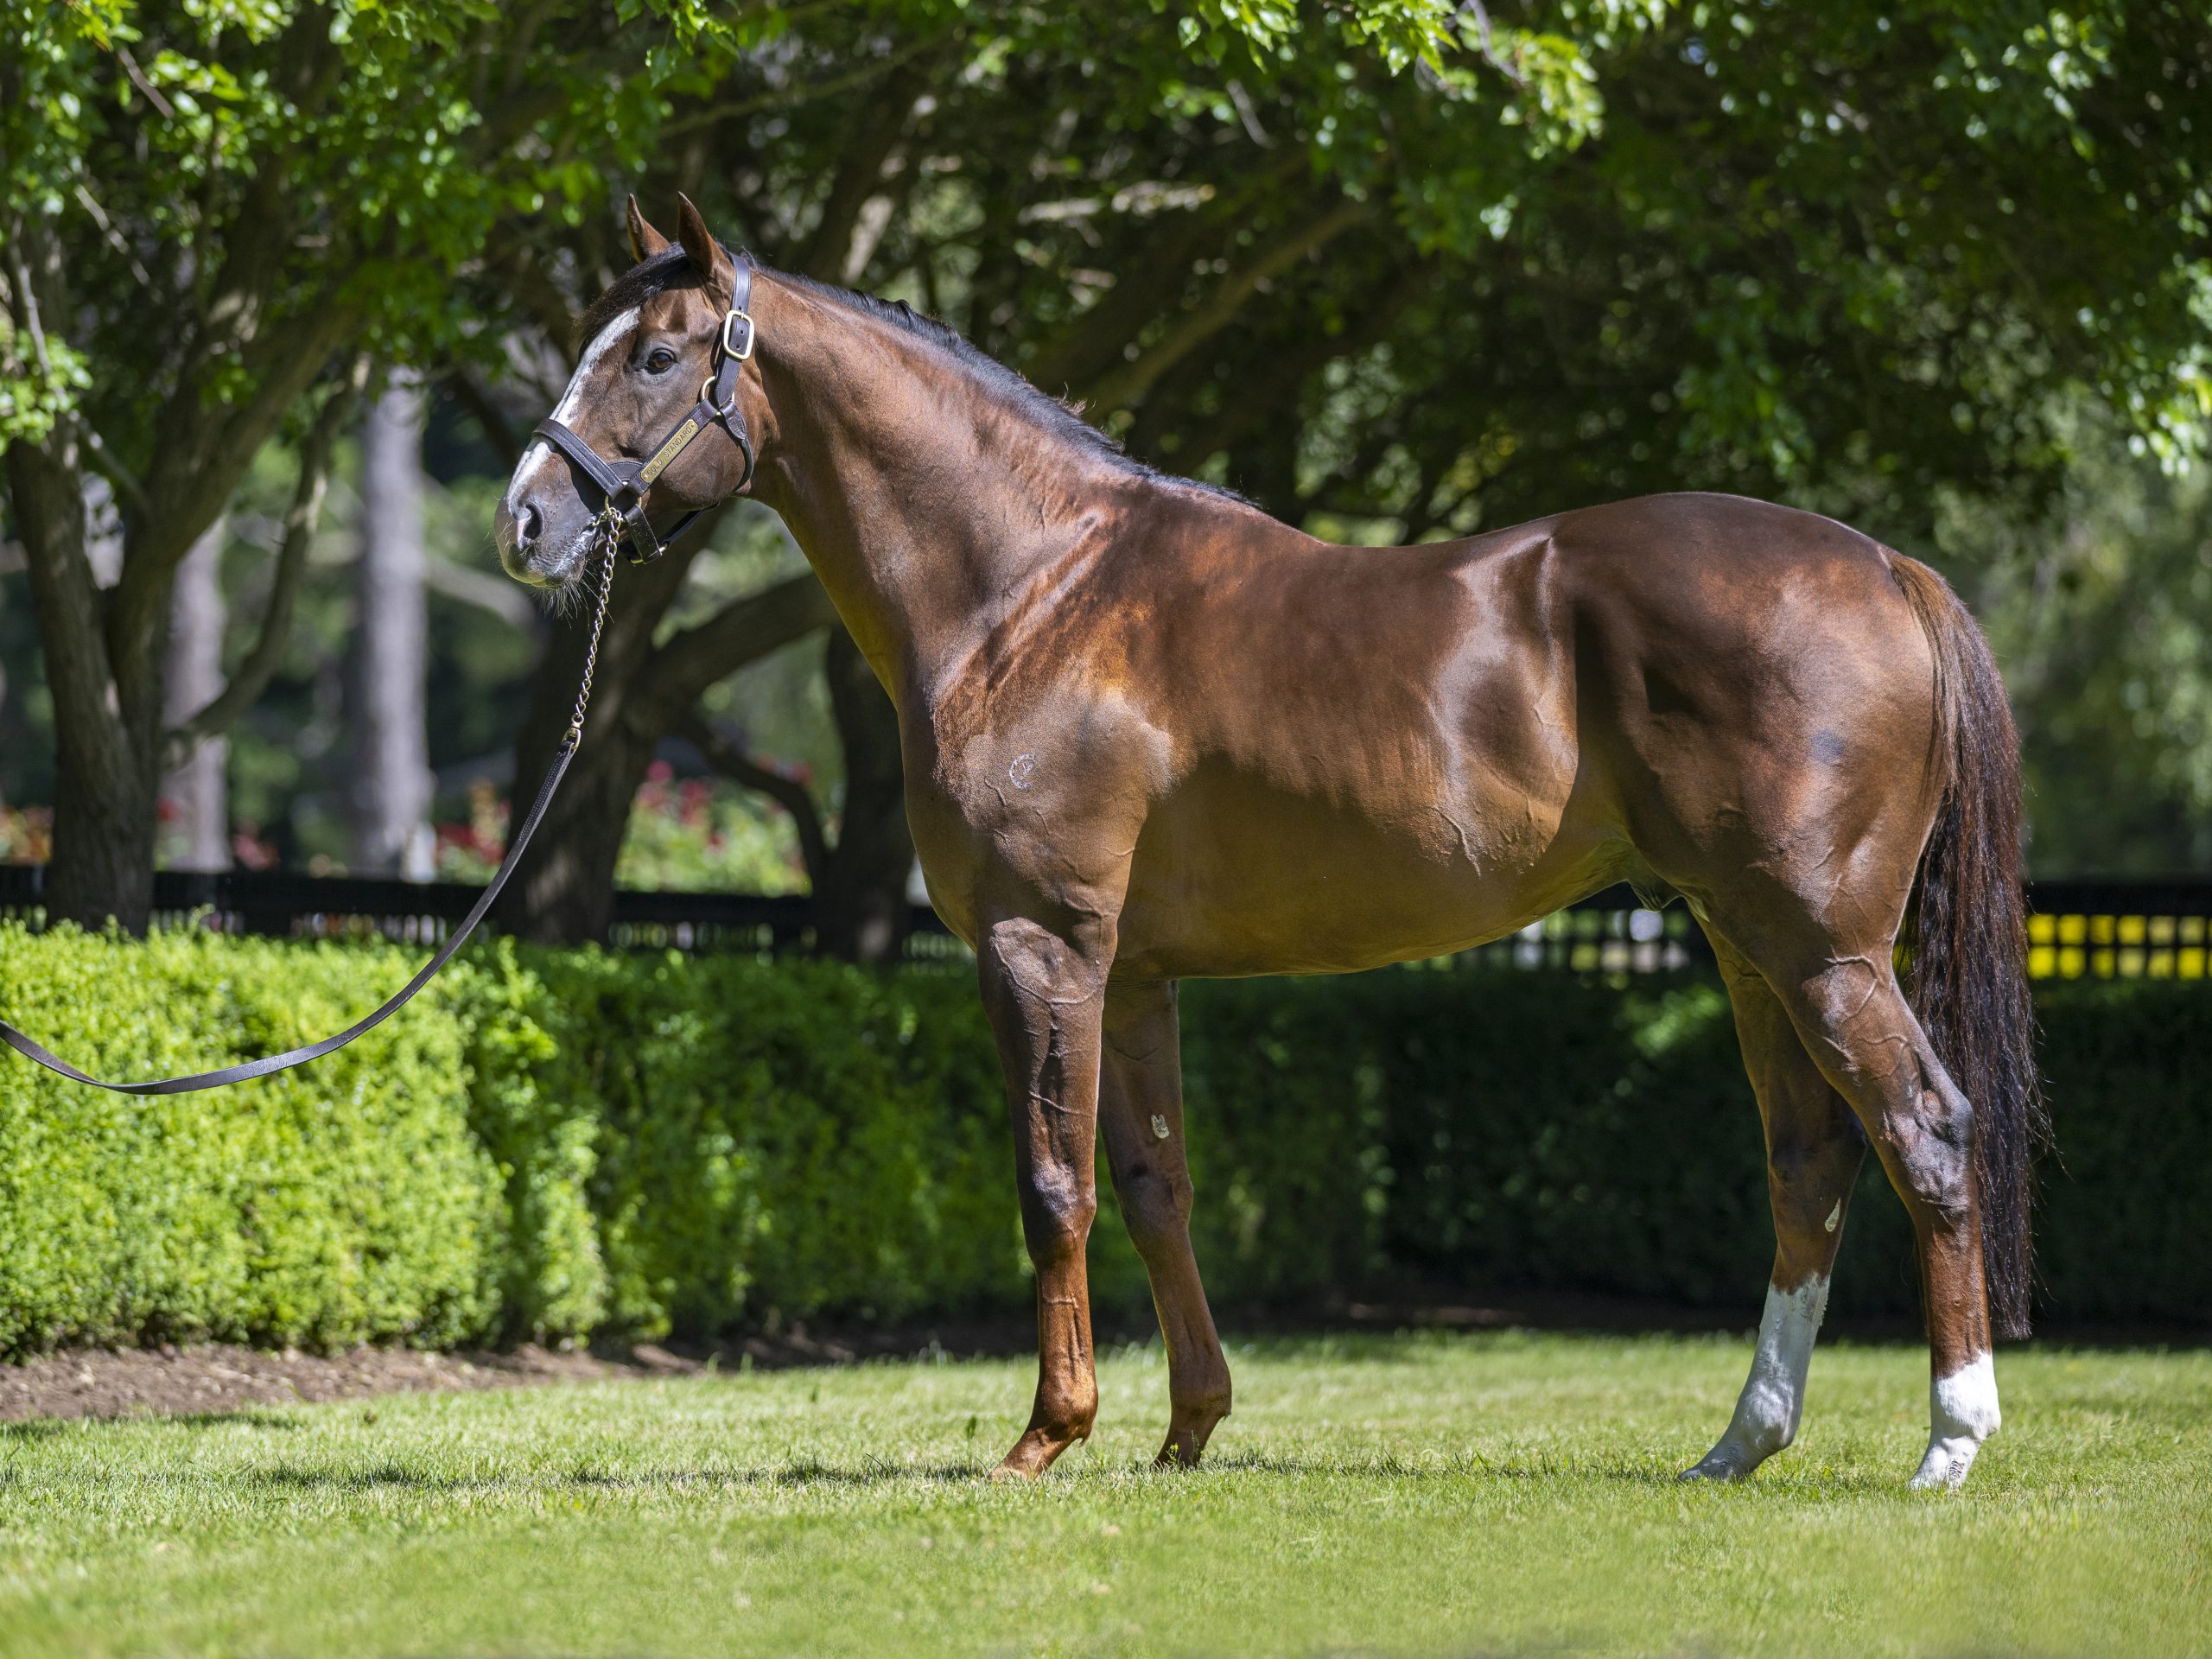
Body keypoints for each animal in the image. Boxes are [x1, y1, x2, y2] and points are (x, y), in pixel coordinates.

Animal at [493, 194, 2025, 1495]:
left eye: (658, 354)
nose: (528, 518)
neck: (1030, 589)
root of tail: (1885, 567)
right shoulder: (1130, 974)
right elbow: (1156, 1186)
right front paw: (1187, 1431)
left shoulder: (1039, 946)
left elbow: (1054, 1186)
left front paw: (1045, 1439)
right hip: (1747, 944)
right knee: (1810, 1161)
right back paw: (1740, 1445)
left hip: (1821, 950)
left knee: (1927, 1133)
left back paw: (1949, 1444)